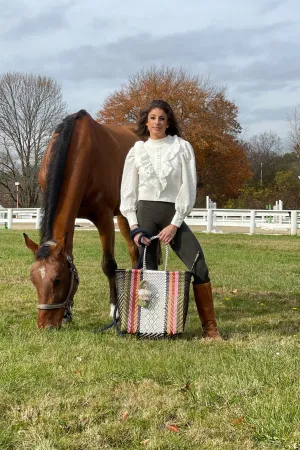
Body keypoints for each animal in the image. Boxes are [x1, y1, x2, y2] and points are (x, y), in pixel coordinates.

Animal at [23, 109, 139, 326]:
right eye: (33, 279)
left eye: (58, 279)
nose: (45, 325)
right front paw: (69, 312)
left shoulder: (104, 217)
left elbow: (109, 265)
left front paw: (115, 310)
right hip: (123, 216)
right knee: (134, 250)